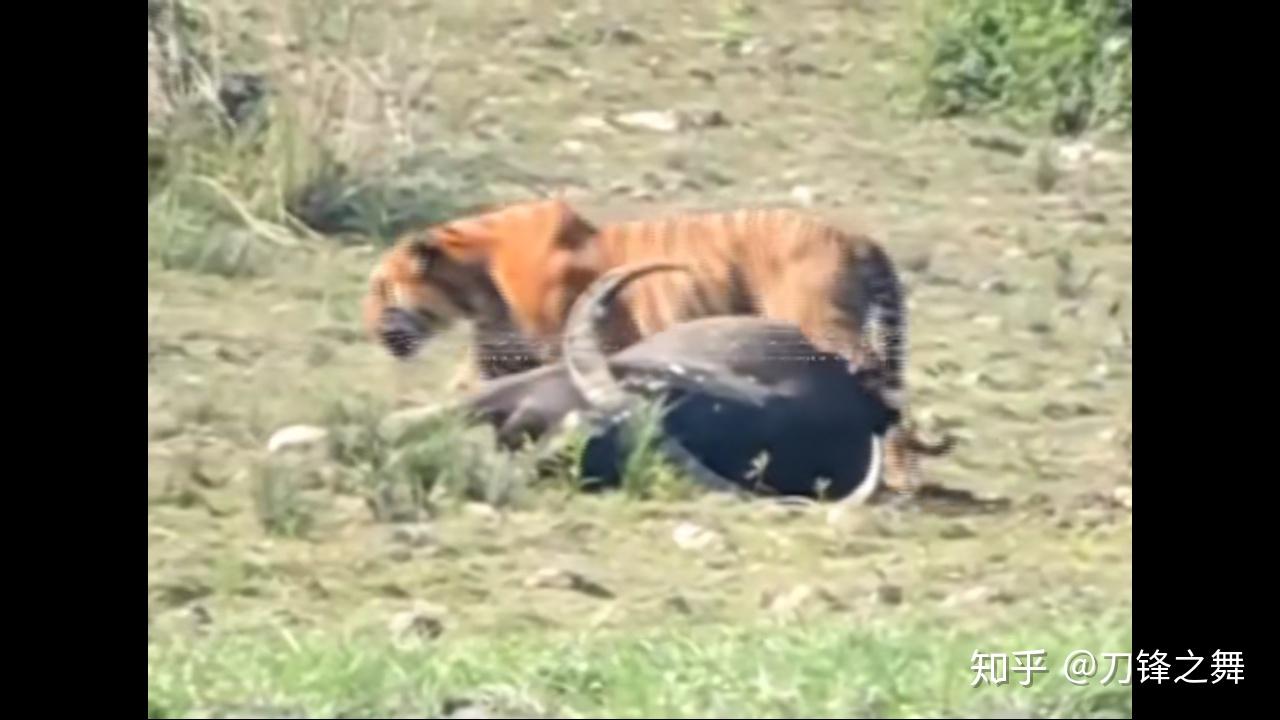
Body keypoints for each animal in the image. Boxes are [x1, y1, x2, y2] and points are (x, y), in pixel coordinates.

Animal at [360, 197, 953, 493]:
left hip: (821, 325)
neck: (476, 277)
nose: (368, 326)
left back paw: (901, 476)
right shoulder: (500, 360)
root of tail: (855, 236)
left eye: (380, 287)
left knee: (879, 389)